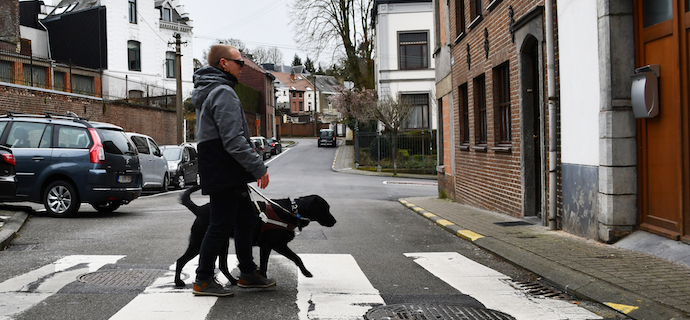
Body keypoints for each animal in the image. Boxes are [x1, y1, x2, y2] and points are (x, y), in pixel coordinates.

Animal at [172, 185, 334, 288]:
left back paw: (233, 281)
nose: (334, 221)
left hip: (222, 243)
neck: (292, 211)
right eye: (325, 209)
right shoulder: (269, 245)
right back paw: (178, 282)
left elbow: (297, 257)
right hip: (198, 242)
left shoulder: (279, 245)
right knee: (180, 261)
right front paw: (263, 280)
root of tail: (199, 209)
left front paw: (306, 272)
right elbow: (264, 265)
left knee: (223, 265)